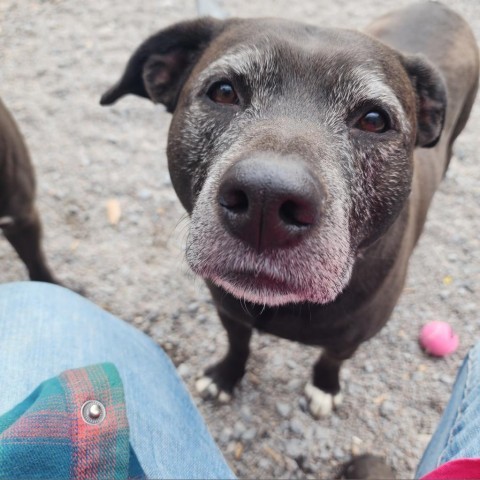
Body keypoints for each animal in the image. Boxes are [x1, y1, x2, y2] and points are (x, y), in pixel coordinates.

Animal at [100, 1, 476, 416]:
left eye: (375, 120)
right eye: (224, 91)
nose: (266, 200)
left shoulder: (351, 338)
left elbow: (330, 359)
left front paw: (324, 387)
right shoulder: (229, 310)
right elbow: (238, 343)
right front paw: (225, 376)